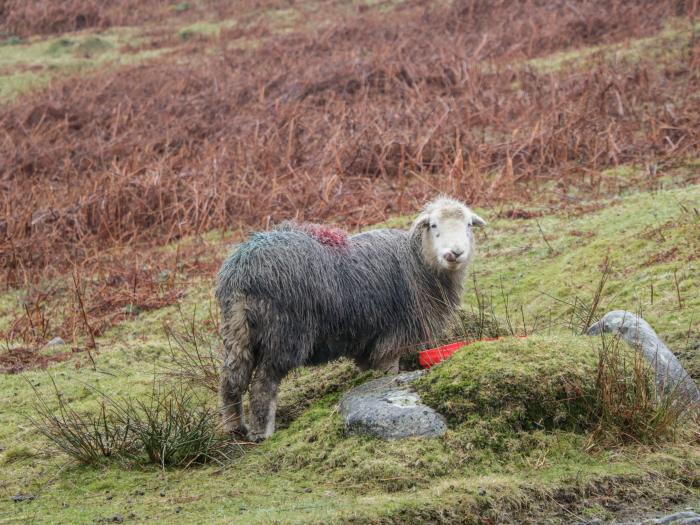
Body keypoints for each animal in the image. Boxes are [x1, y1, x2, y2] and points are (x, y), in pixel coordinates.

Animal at [216, 194, 484, 440]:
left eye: (468, 225)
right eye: (433, 225)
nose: (455, 253)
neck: (418, 263)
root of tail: (244, 271)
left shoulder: (367, 341)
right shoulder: (392, 338)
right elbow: (389, 373)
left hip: (237, 330)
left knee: (231, 379)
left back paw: (234, 428)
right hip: (284, 332)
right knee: (263, 385)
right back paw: (263, 433)